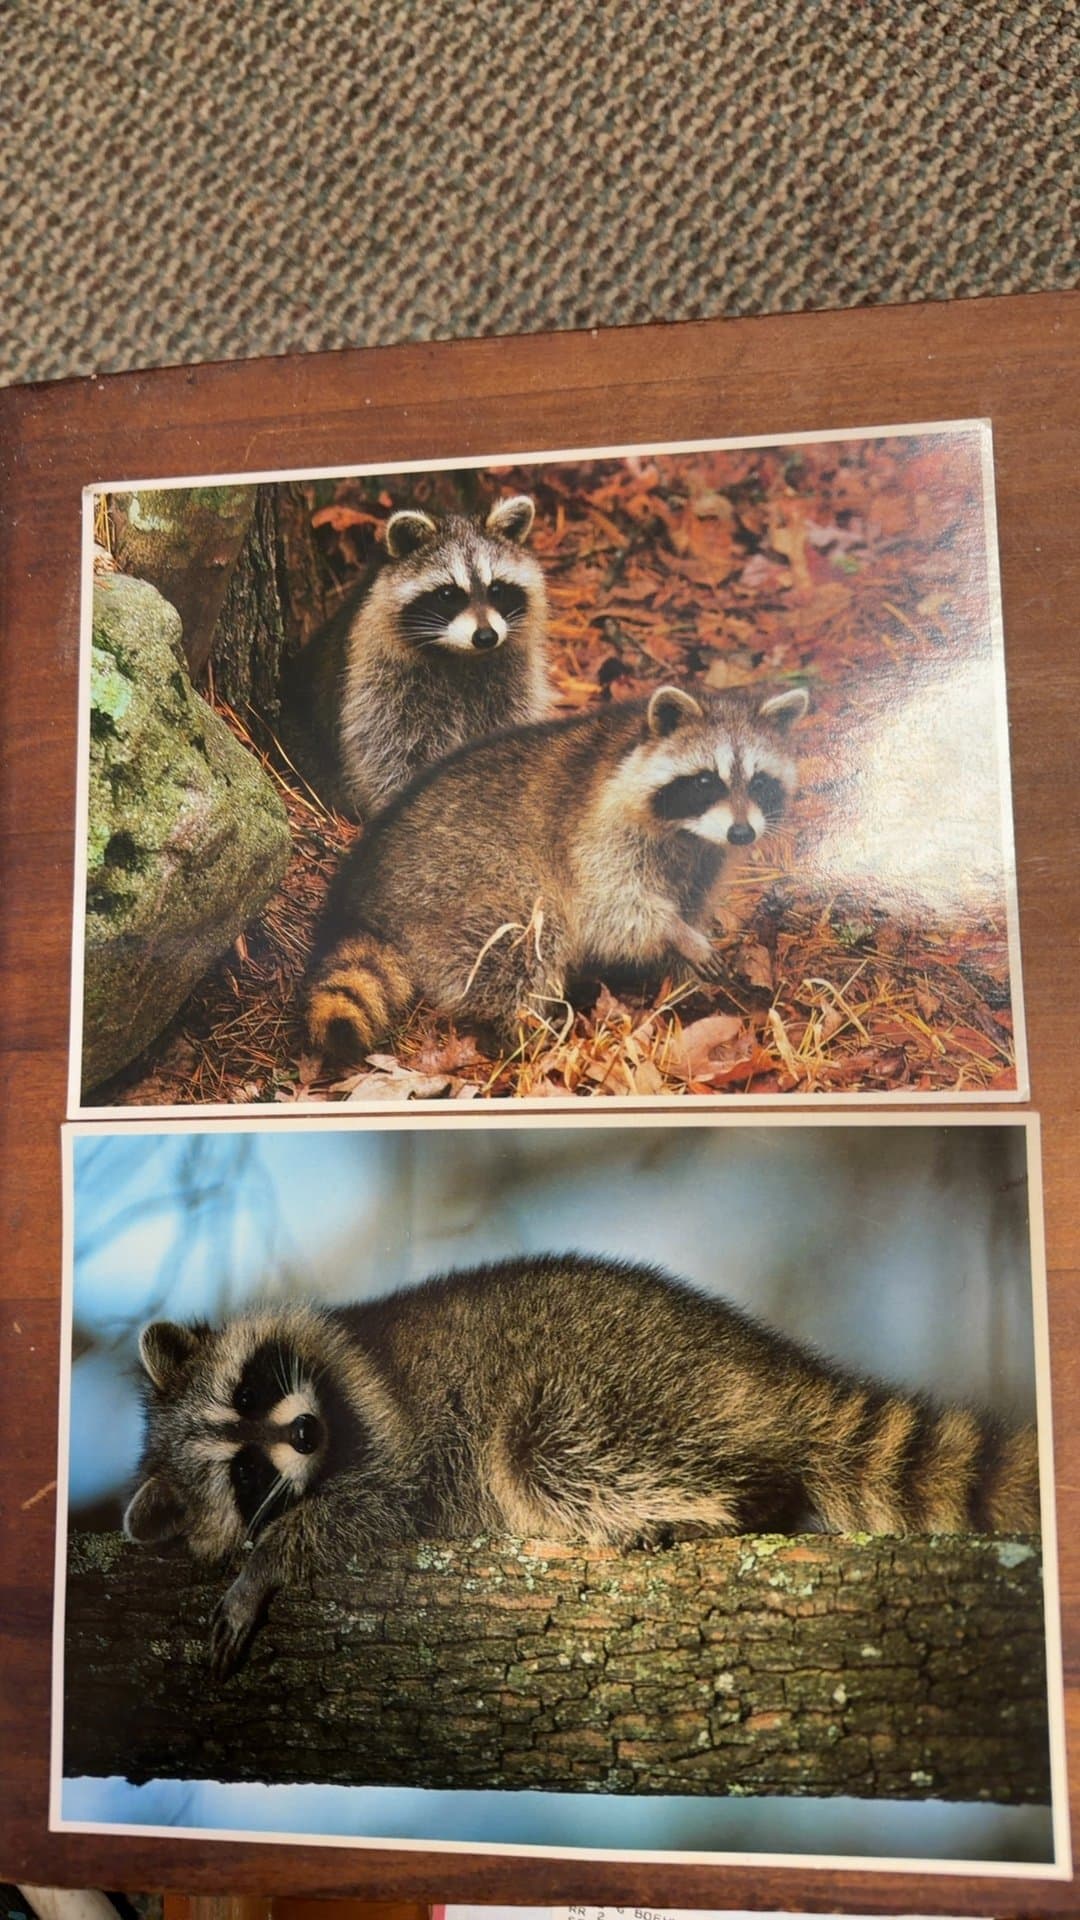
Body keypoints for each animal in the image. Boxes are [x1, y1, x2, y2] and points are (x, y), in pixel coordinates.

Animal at [122, 1255, 1040, 1677]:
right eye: (243, 1474)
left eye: (251, 1389)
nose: (306, 1434)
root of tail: (765, 1366)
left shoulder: (394, 1426)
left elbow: (380, 1499)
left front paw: (268, 1562)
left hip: (617, 1383)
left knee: (544, 1449)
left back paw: (716, 1505)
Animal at [280, 494, 551, 816]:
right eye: (447, 594)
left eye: (496, 589)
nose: (486, 637)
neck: (461, 657)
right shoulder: (380, 676)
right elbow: (391, 748)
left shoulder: (510, 674)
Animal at [305, 680, 809, 1061]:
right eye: (706, 781)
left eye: (759, 782)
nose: (742, 833)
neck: (689, 832)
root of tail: (365, 900)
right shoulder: (598, 833)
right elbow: (611, 908)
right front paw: (675, 933)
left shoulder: (705, 857)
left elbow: (691, 899)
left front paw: (683, 962)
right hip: (459, 879)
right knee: (525, 937)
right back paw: (525, 1026)